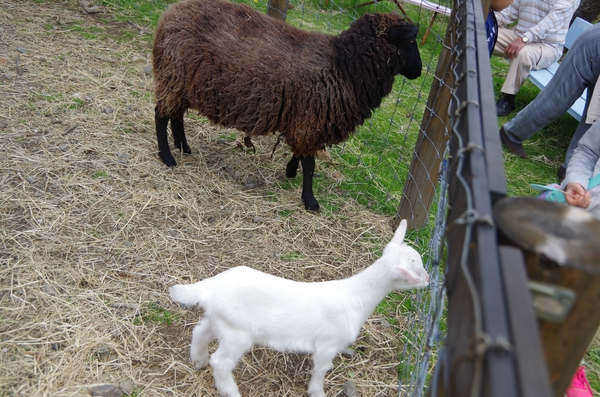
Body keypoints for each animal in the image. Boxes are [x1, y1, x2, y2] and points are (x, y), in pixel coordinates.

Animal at [154, 0, 422, 210]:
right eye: (410, 40)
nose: (419, 71)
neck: (343, 65)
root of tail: (170, 13)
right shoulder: (311, 118)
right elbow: (310, 164)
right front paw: (310, 200)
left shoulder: (306, 118)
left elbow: (301, 154)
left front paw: (291, 171)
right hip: (172, 75)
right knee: (161, 115)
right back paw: (168, 157)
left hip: (183, 83)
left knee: (176, 115)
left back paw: (184, 146)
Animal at [169, 218, 428, 394]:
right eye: (416, 268)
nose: (428, 279)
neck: (356, 296)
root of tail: (209, 286)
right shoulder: (327, 345)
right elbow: (322, 370)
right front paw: (317, 392)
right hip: (237, 334)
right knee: (221, 363)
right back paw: (230, 391)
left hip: (220, 321)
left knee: (199, 333)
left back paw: (198, 361)